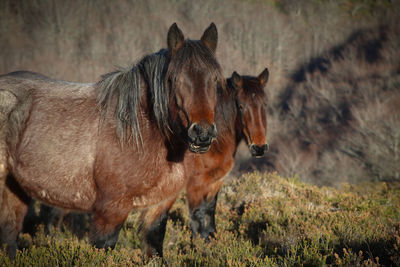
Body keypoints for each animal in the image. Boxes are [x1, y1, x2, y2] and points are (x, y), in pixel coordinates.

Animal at [0, 23, 225, 260]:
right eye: (174, 79)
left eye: (214, 79)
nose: (202, 133)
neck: (140, 132)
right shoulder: (111, 209)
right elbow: (104, 248)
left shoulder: (159, 207)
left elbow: (154, 249)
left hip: (14, 189)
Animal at [140, 69, 268, 258]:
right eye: (240, 106)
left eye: (264, 105)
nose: (259, 147)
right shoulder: (196, 185)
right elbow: (198, 216)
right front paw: (201, 248)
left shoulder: (215, 182)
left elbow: (209, 212)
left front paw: (213, 242)